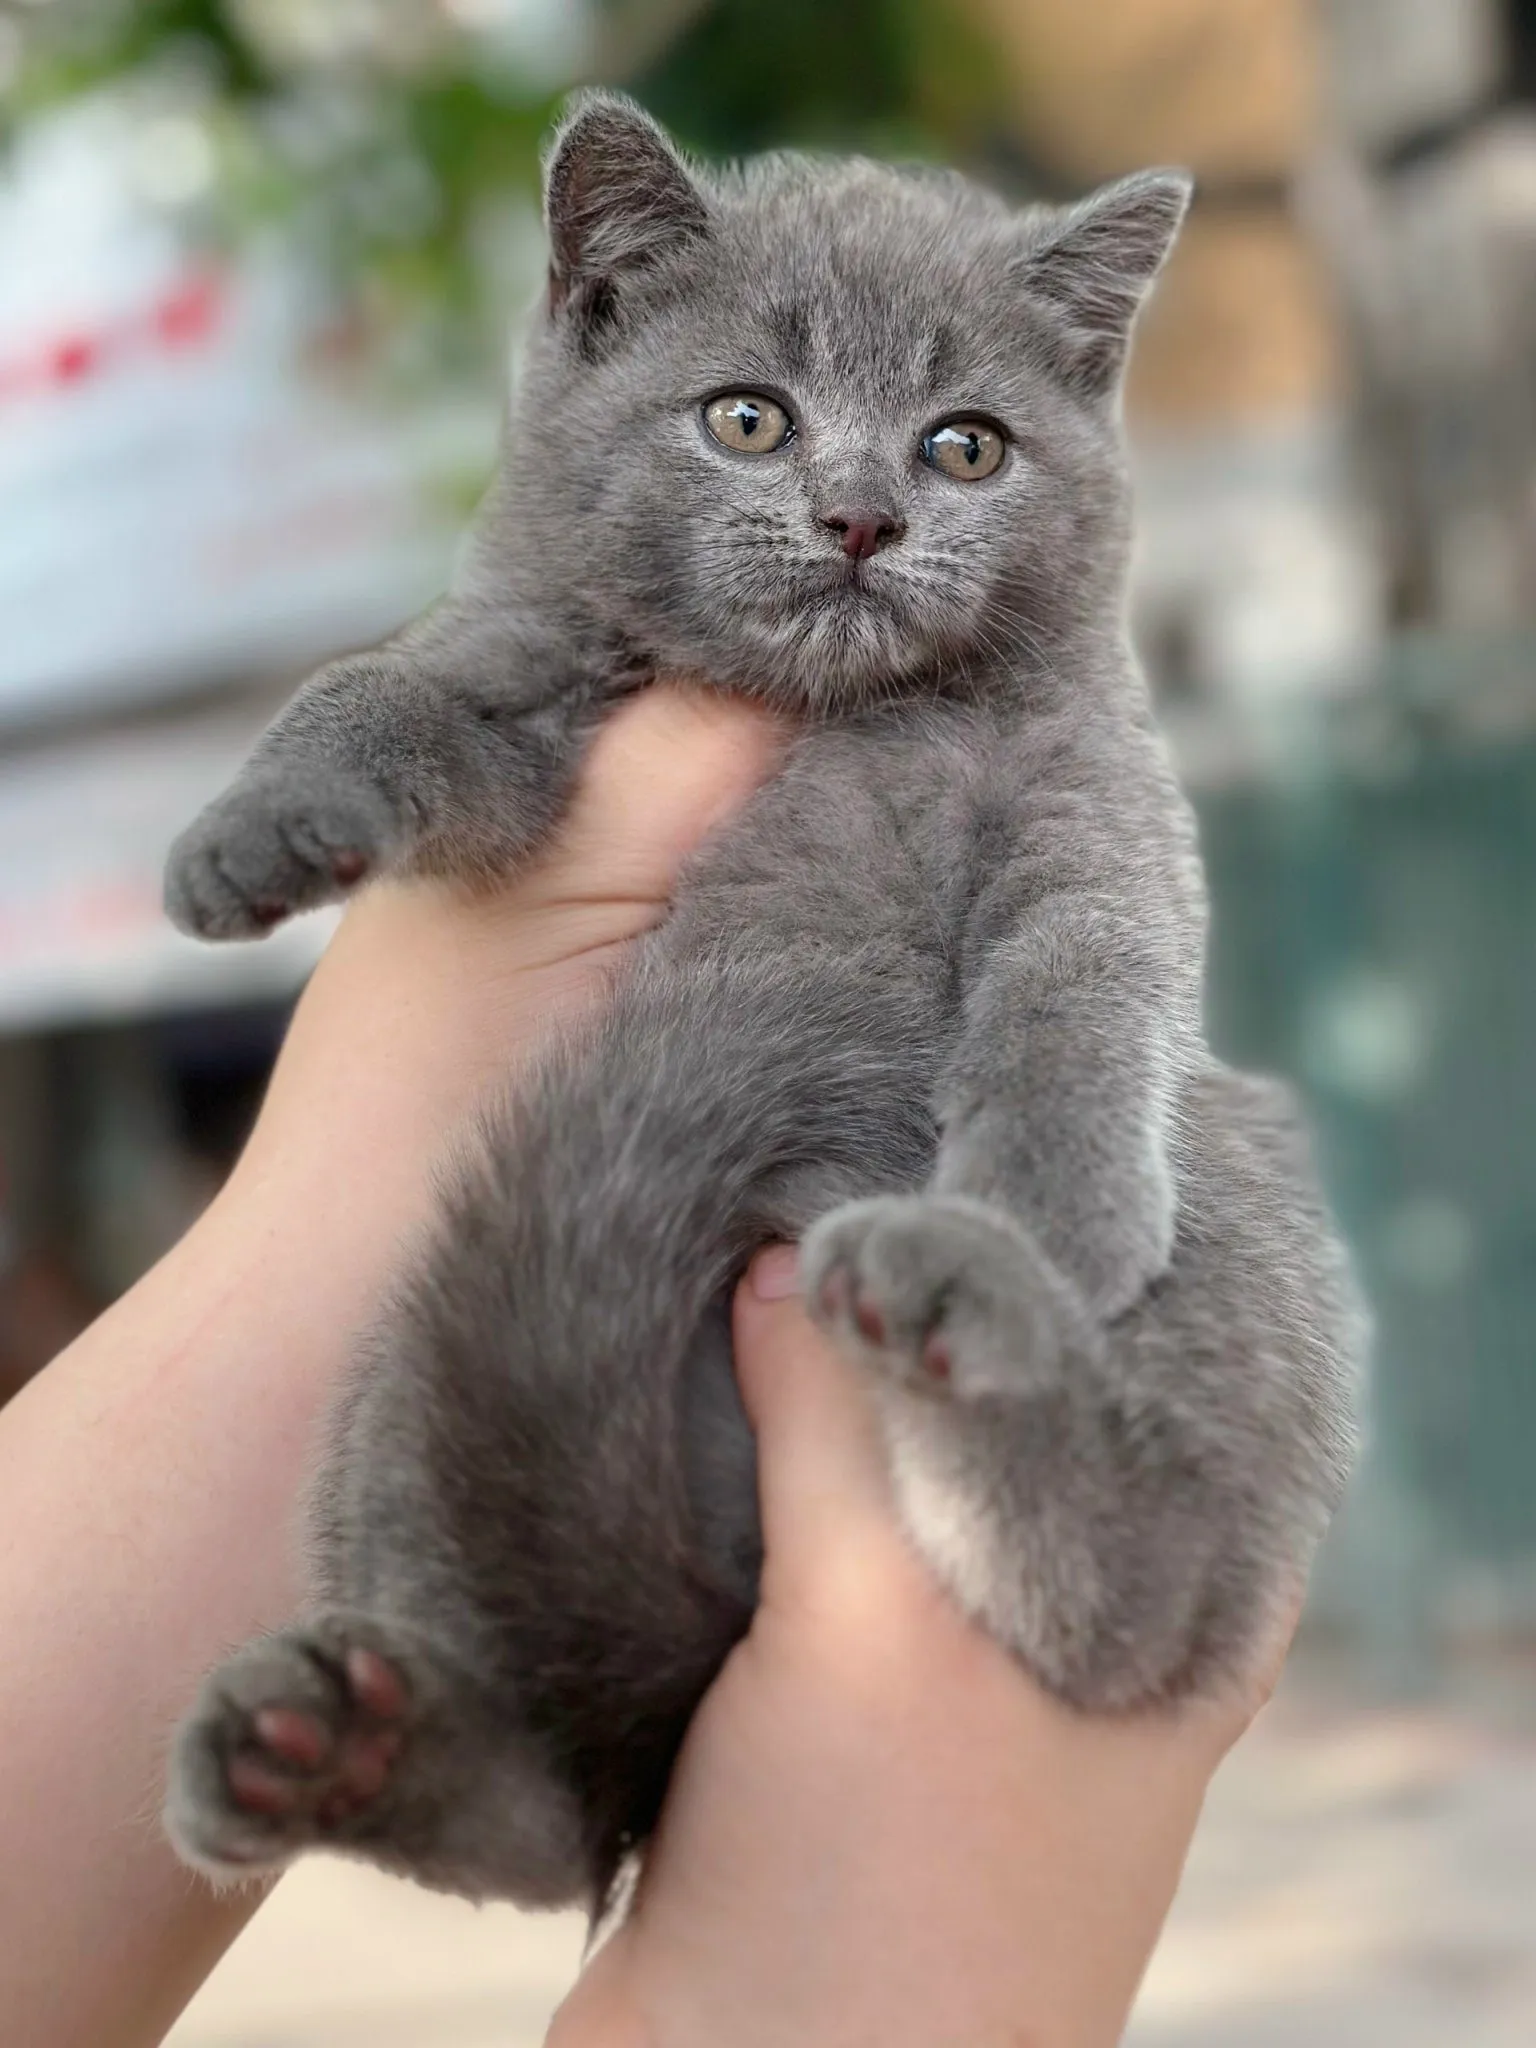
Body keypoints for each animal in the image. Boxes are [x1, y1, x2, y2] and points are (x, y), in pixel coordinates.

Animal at [162, 92, 1368, 1916]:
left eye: (966, 446)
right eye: (747, 417)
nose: (860, 517)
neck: (838, 714)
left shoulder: (1096, 806)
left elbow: (1083, 991)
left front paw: (1040, 1223)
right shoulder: (531, 692)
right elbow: (386, 689)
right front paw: (248, 834)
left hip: (1238, 1210)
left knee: (1126, 1615)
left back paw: (954, 1297)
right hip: (404, 1383)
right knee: (557, 1815)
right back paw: (330, 1749)